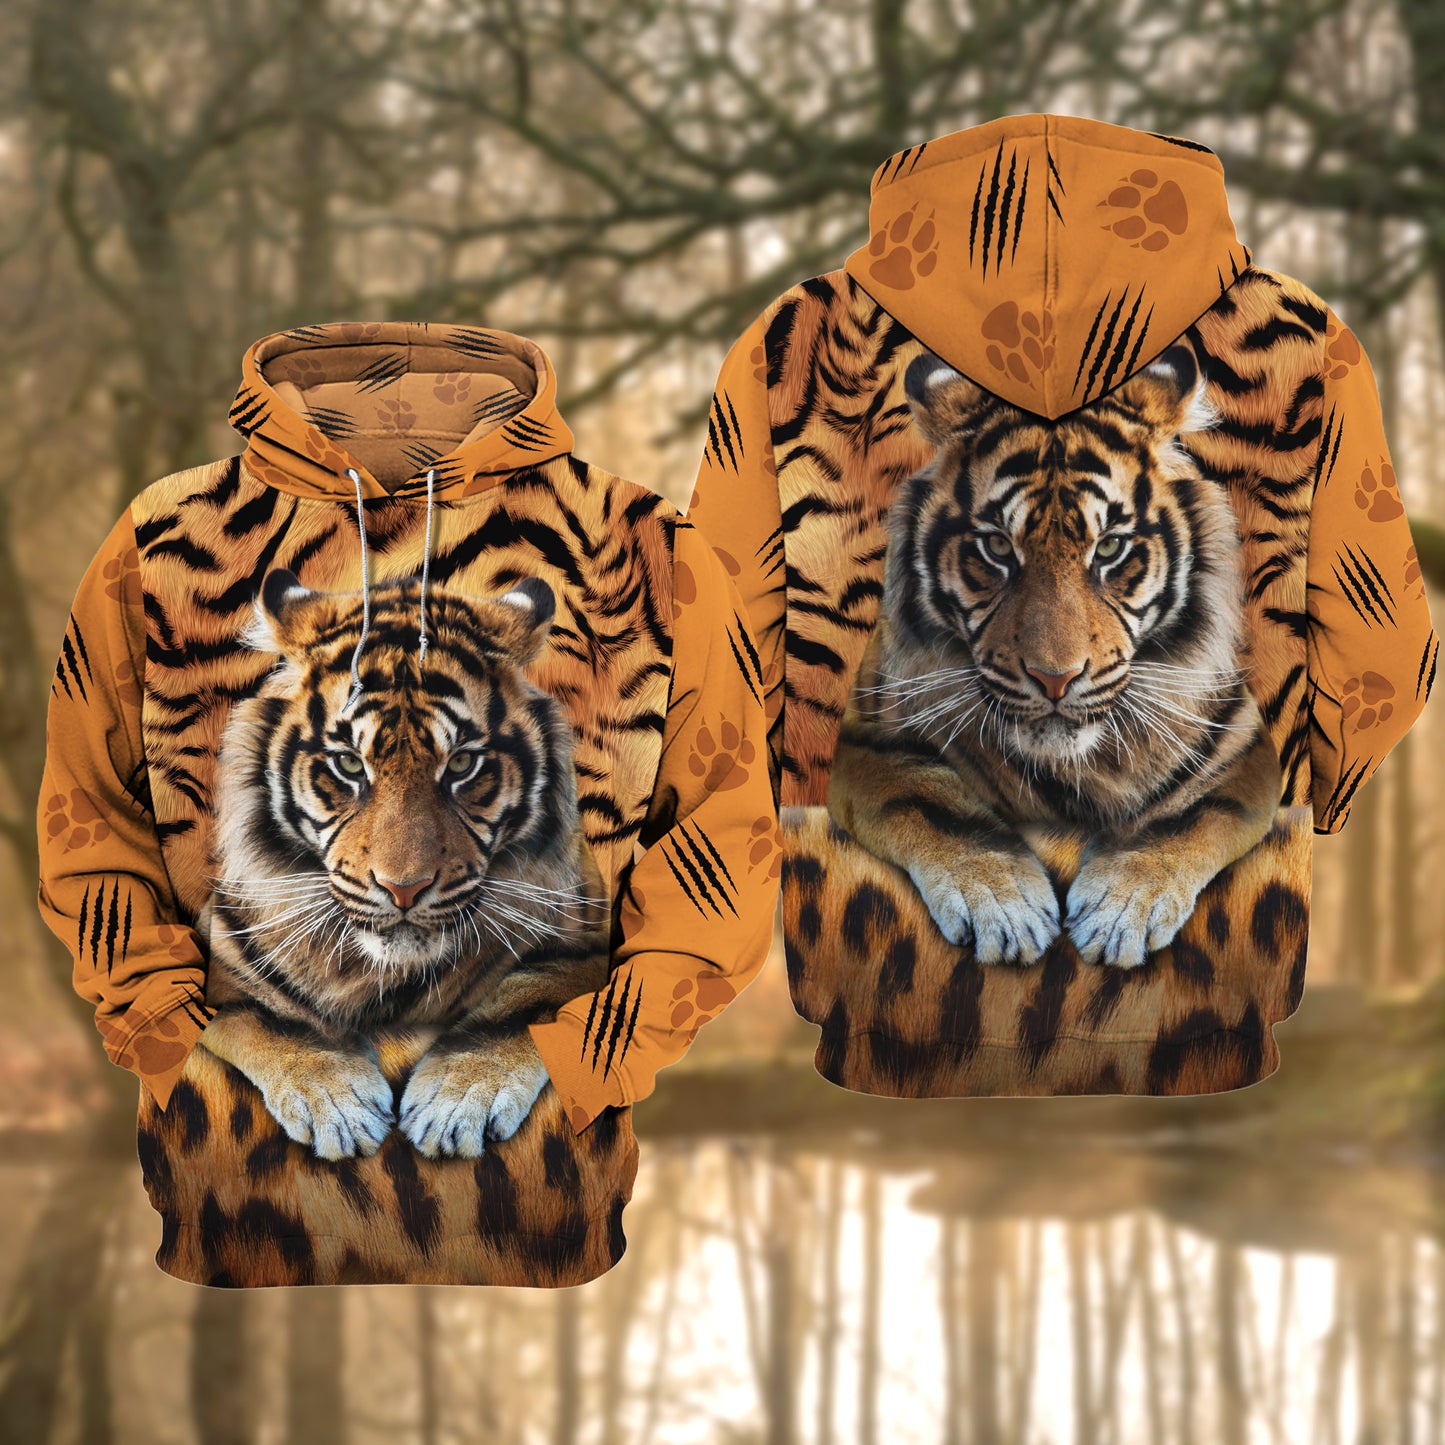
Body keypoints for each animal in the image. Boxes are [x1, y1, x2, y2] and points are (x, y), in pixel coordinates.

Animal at [195, 566, 610, 1161]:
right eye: (349, 764)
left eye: (461, 764)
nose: (405, 889)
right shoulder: (220, 958)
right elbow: (268, 1017)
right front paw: (341, 1107)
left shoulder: (588, 945)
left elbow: (527, 1001)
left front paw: (456, 1104)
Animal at [826, 340, 1283, 971]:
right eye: (997, 547)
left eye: (1109, 548)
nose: (1054, 680)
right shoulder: (868, 737)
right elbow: (935, 804)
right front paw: (1005, 908)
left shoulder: (1242, 748)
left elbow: (1182, 817)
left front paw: (1118, 914)